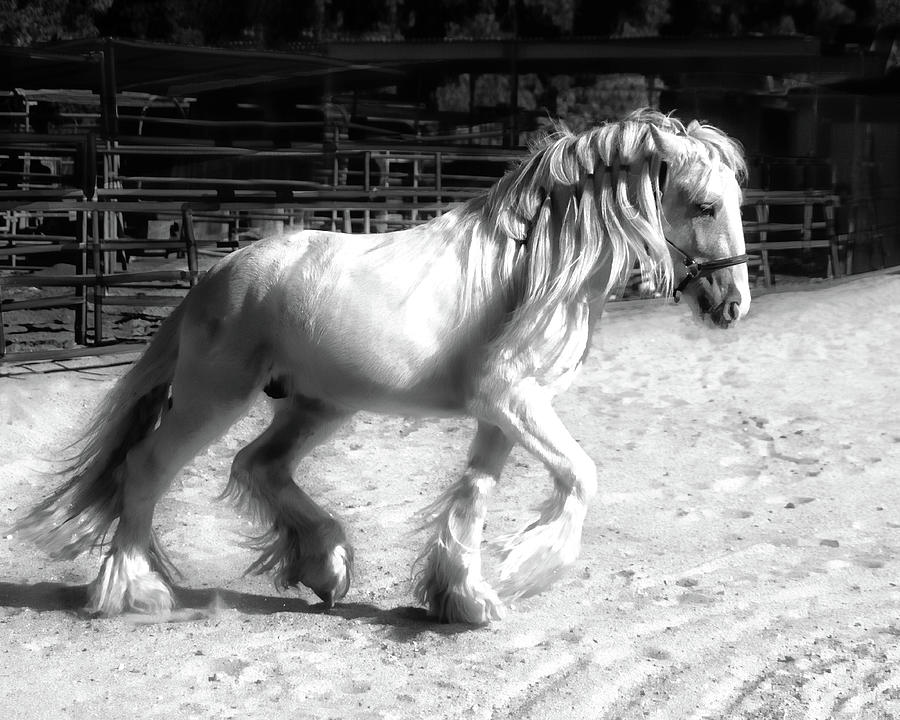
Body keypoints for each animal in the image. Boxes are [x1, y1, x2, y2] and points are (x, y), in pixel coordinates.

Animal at [14, 109, 752, 620]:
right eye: (705, 205)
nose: (733, 304)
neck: (536, 269)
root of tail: (220, 273)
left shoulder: (505, 410)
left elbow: (473, 496)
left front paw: (465, 597)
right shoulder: (511, 398)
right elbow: (578, 477)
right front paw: (516, 576)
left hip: (318, 405)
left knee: (258, 465)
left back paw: (326, 569)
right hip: (212, 399)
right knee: (148, 469)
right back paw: (132, 593)